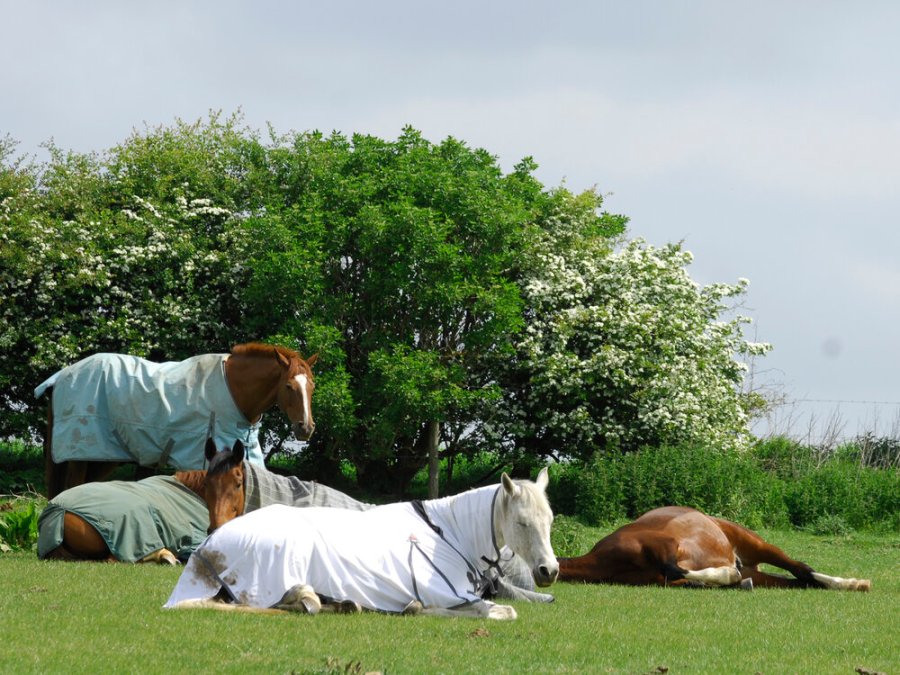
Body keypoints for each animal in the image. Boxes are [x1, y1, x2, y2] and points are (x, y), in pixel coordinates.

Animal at [37, 344, 318, 496]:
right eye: (290, 386)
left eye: (312, 386)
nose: (305, 428)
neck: (233, 390)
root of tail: (62, 376)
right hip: (80, 454)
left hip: (104, 457)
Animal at [560, 508, 868, 592]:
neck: (607, 559)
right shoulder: (662, 580)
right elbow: (679, 578)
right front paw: (730, 580)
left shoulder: (666, 546)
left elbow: (674, 568)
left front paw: (728, 576)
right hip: (761, 574)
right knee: (799, 580)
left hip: (758, 545)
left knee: (801, 568)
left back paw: (853, 583)